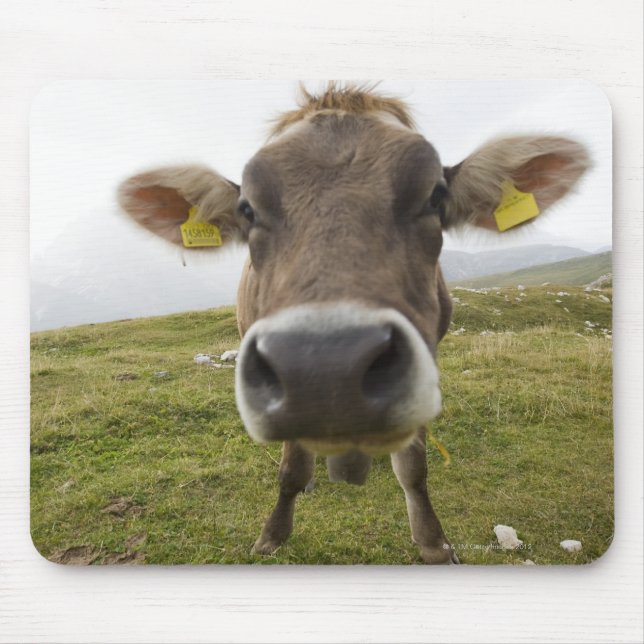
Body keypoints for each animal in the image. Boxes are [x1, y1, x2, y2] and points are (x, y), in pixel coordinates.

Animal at [117, 83, 590, 564]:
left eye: (436, 196)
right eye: (247, 209)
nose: (326, 368)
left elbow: (414, 469)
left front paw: (435, 544)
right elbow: (291, 467)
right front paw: (272, 535)